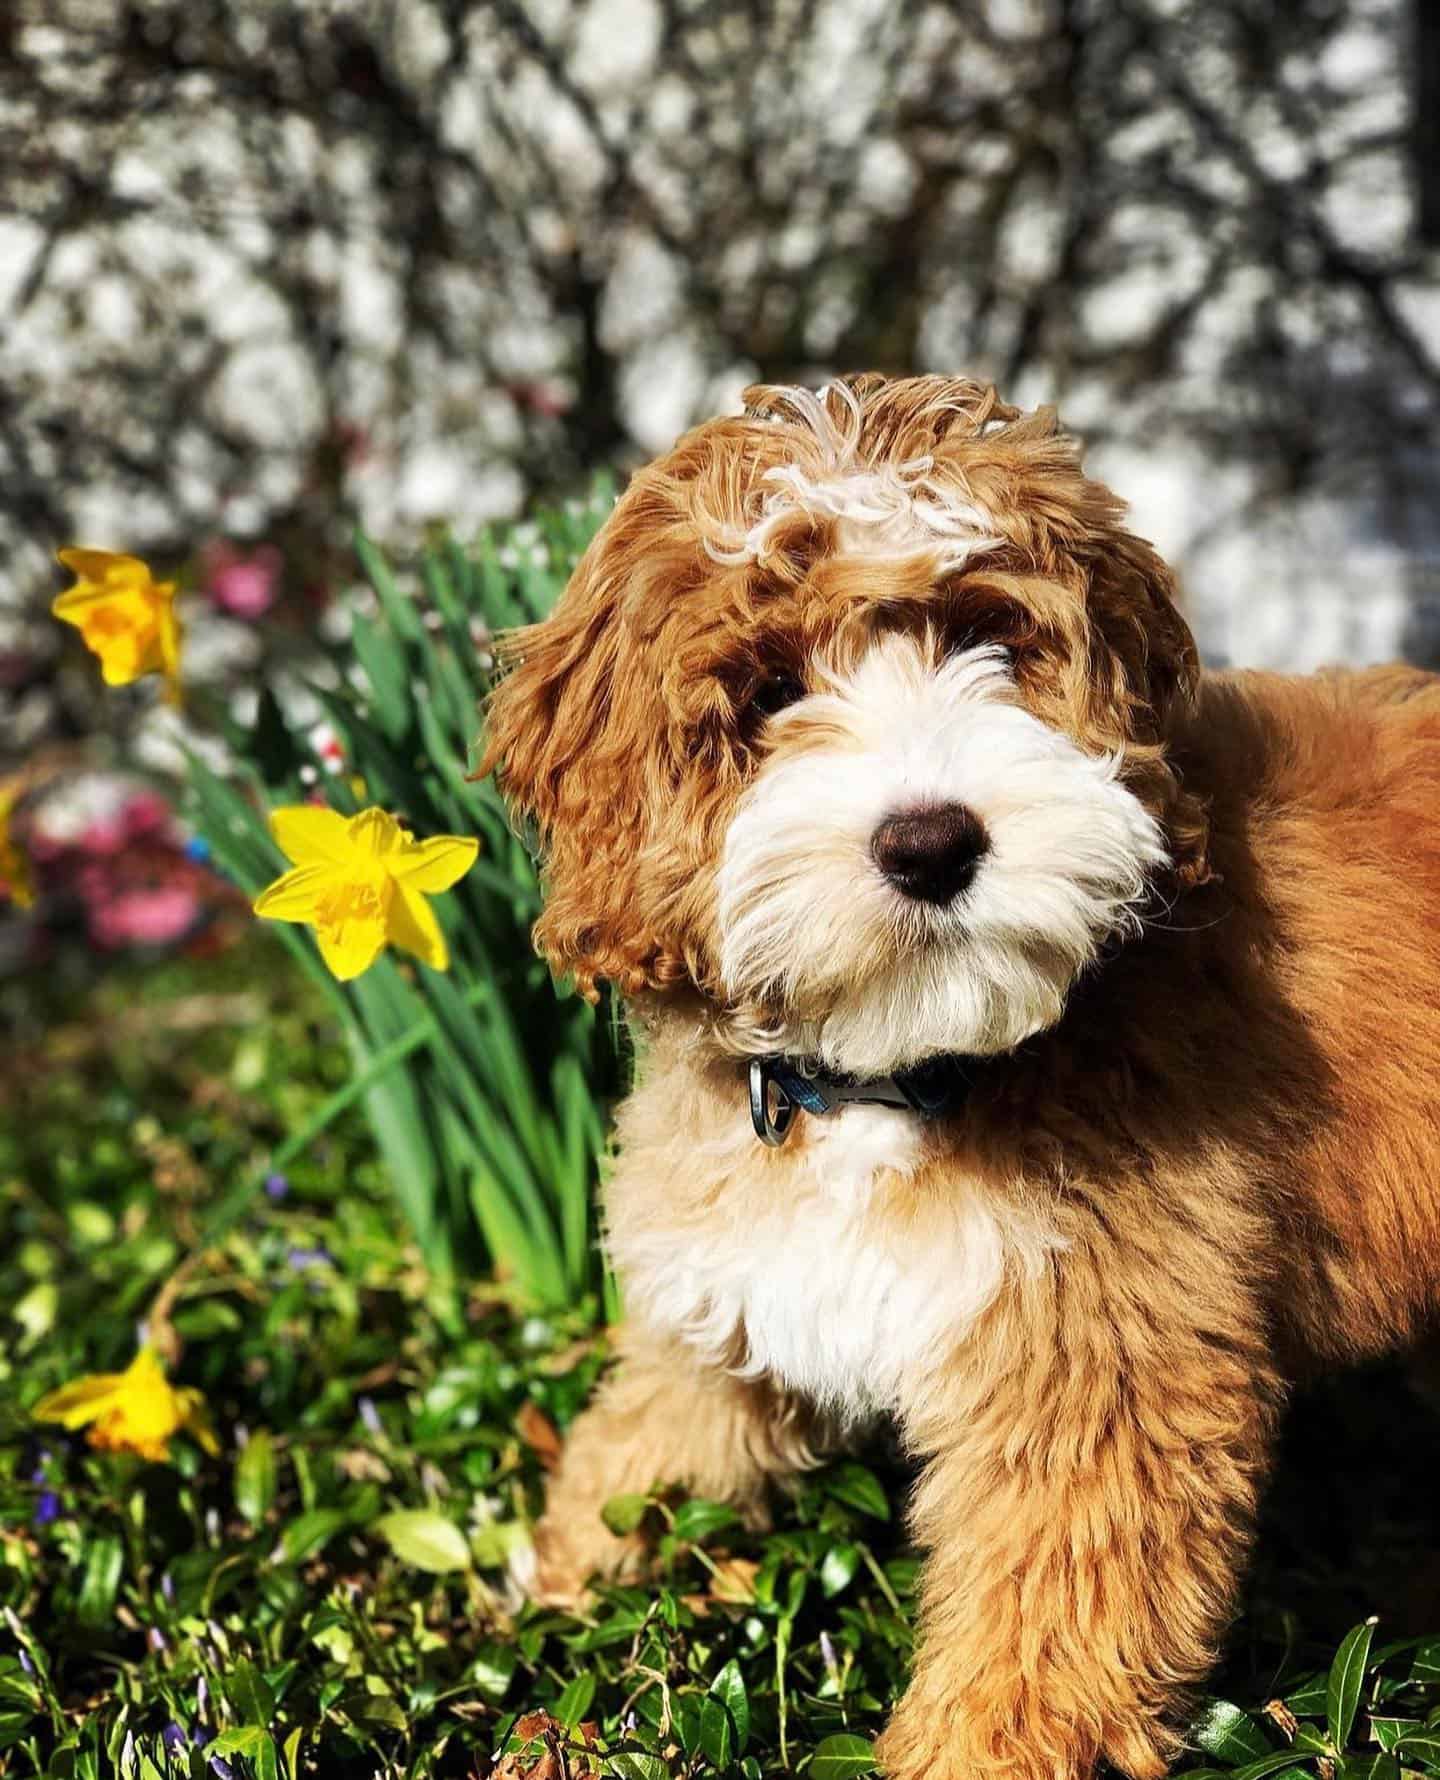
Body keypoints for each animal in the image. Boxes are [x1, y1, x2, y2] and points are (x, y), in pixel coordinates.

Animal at [480, 375, 1438, 1780]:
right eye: (770, 689)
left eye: (990, 636)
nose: (931, 843)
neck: (894, 1077)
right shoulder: (736, 1251)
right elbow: (676, 1410)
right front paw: (563, 1571)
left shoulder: (1100, 1349)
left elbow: (1050, 1608)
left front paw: (978, 1750)